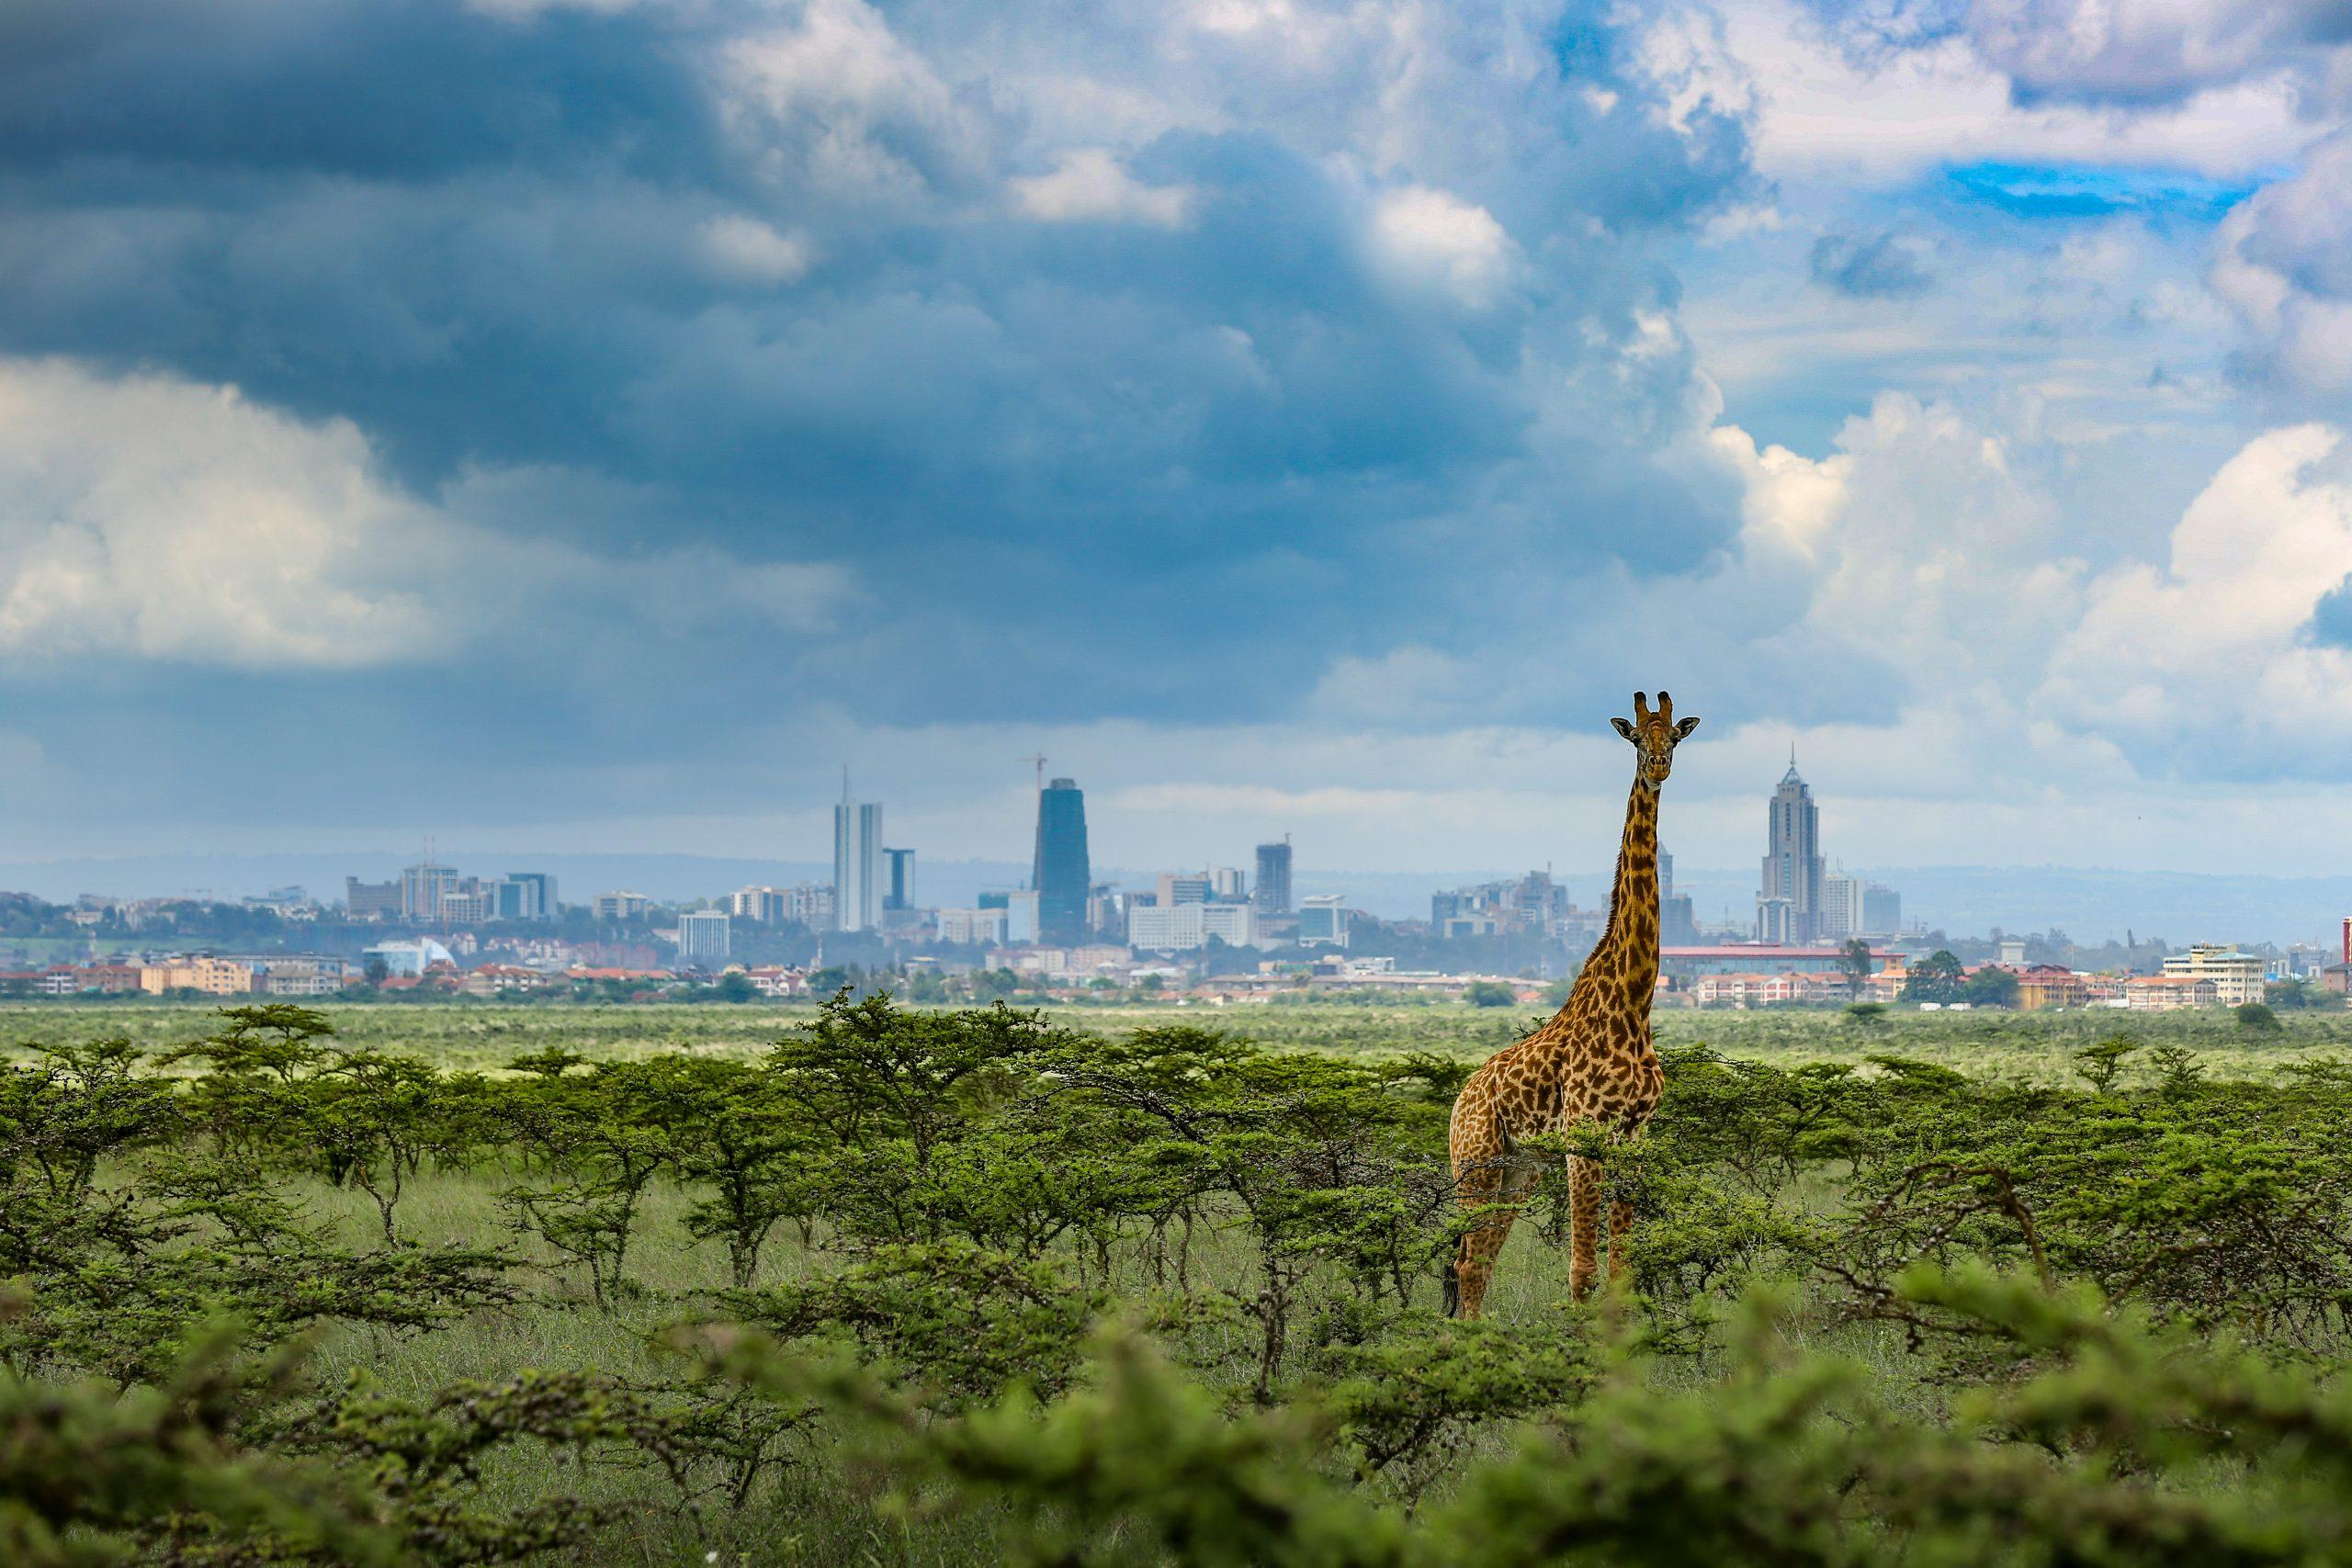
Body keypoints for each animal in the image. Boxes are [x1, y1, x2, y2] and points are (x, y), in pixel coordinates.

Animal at [1443, 690, 1699, 1318]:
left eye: (1675, 736)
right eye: (1637, 736)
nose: (1658, 766)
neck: (1633, 1002)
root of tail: (1458, 1102)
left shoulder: (1634, 1137)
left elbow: (1620, 1271)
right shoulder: (1584, 1136)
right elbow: (1581, 1271)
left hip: (1520, 1168)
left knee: (1478, 1263)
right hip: (1475, 1163)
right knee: (1465, 1262)